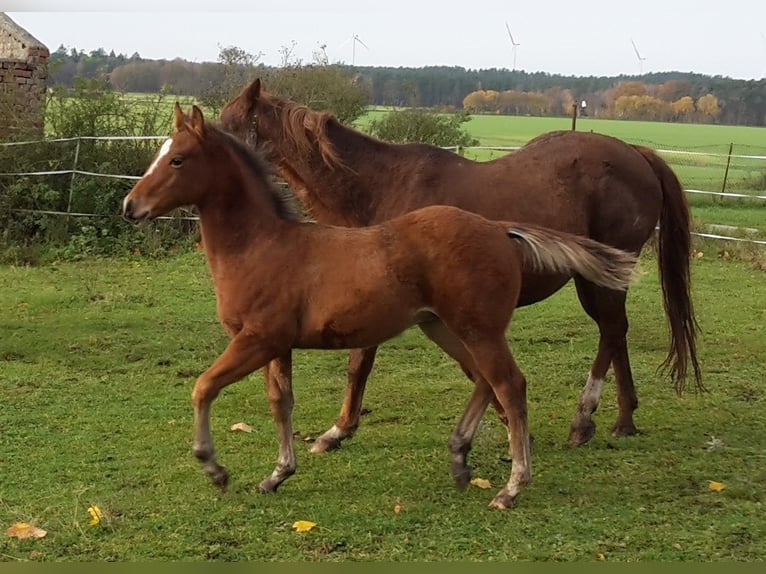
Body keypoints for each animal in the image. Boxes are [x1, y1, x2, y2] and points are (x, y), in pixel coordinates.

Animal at [123, 103, 640, 508]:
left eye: (178, 160)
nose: (130, 206)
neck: (261, 246)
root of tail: (500, 229)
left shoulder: (257, 339)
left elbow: (203, 387)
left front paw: (214, 468)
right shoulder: (277, 346)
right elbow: (280, 402)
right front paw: (278, 474)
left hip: (480, 328)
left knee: (510, 384)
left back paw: (512, 486)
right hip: (444, 327)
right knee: (483, 379)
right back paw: (459, 456)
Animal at [220, 79, 704, 452]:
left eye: (226, 126)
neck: (380, 188)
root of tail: (635, 154)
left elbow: (368, 363)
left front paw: (337, 431)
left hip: (598, 277)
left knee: (612, 332)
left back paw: (585, 419)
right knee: (615, 334)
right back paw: (623, 419)